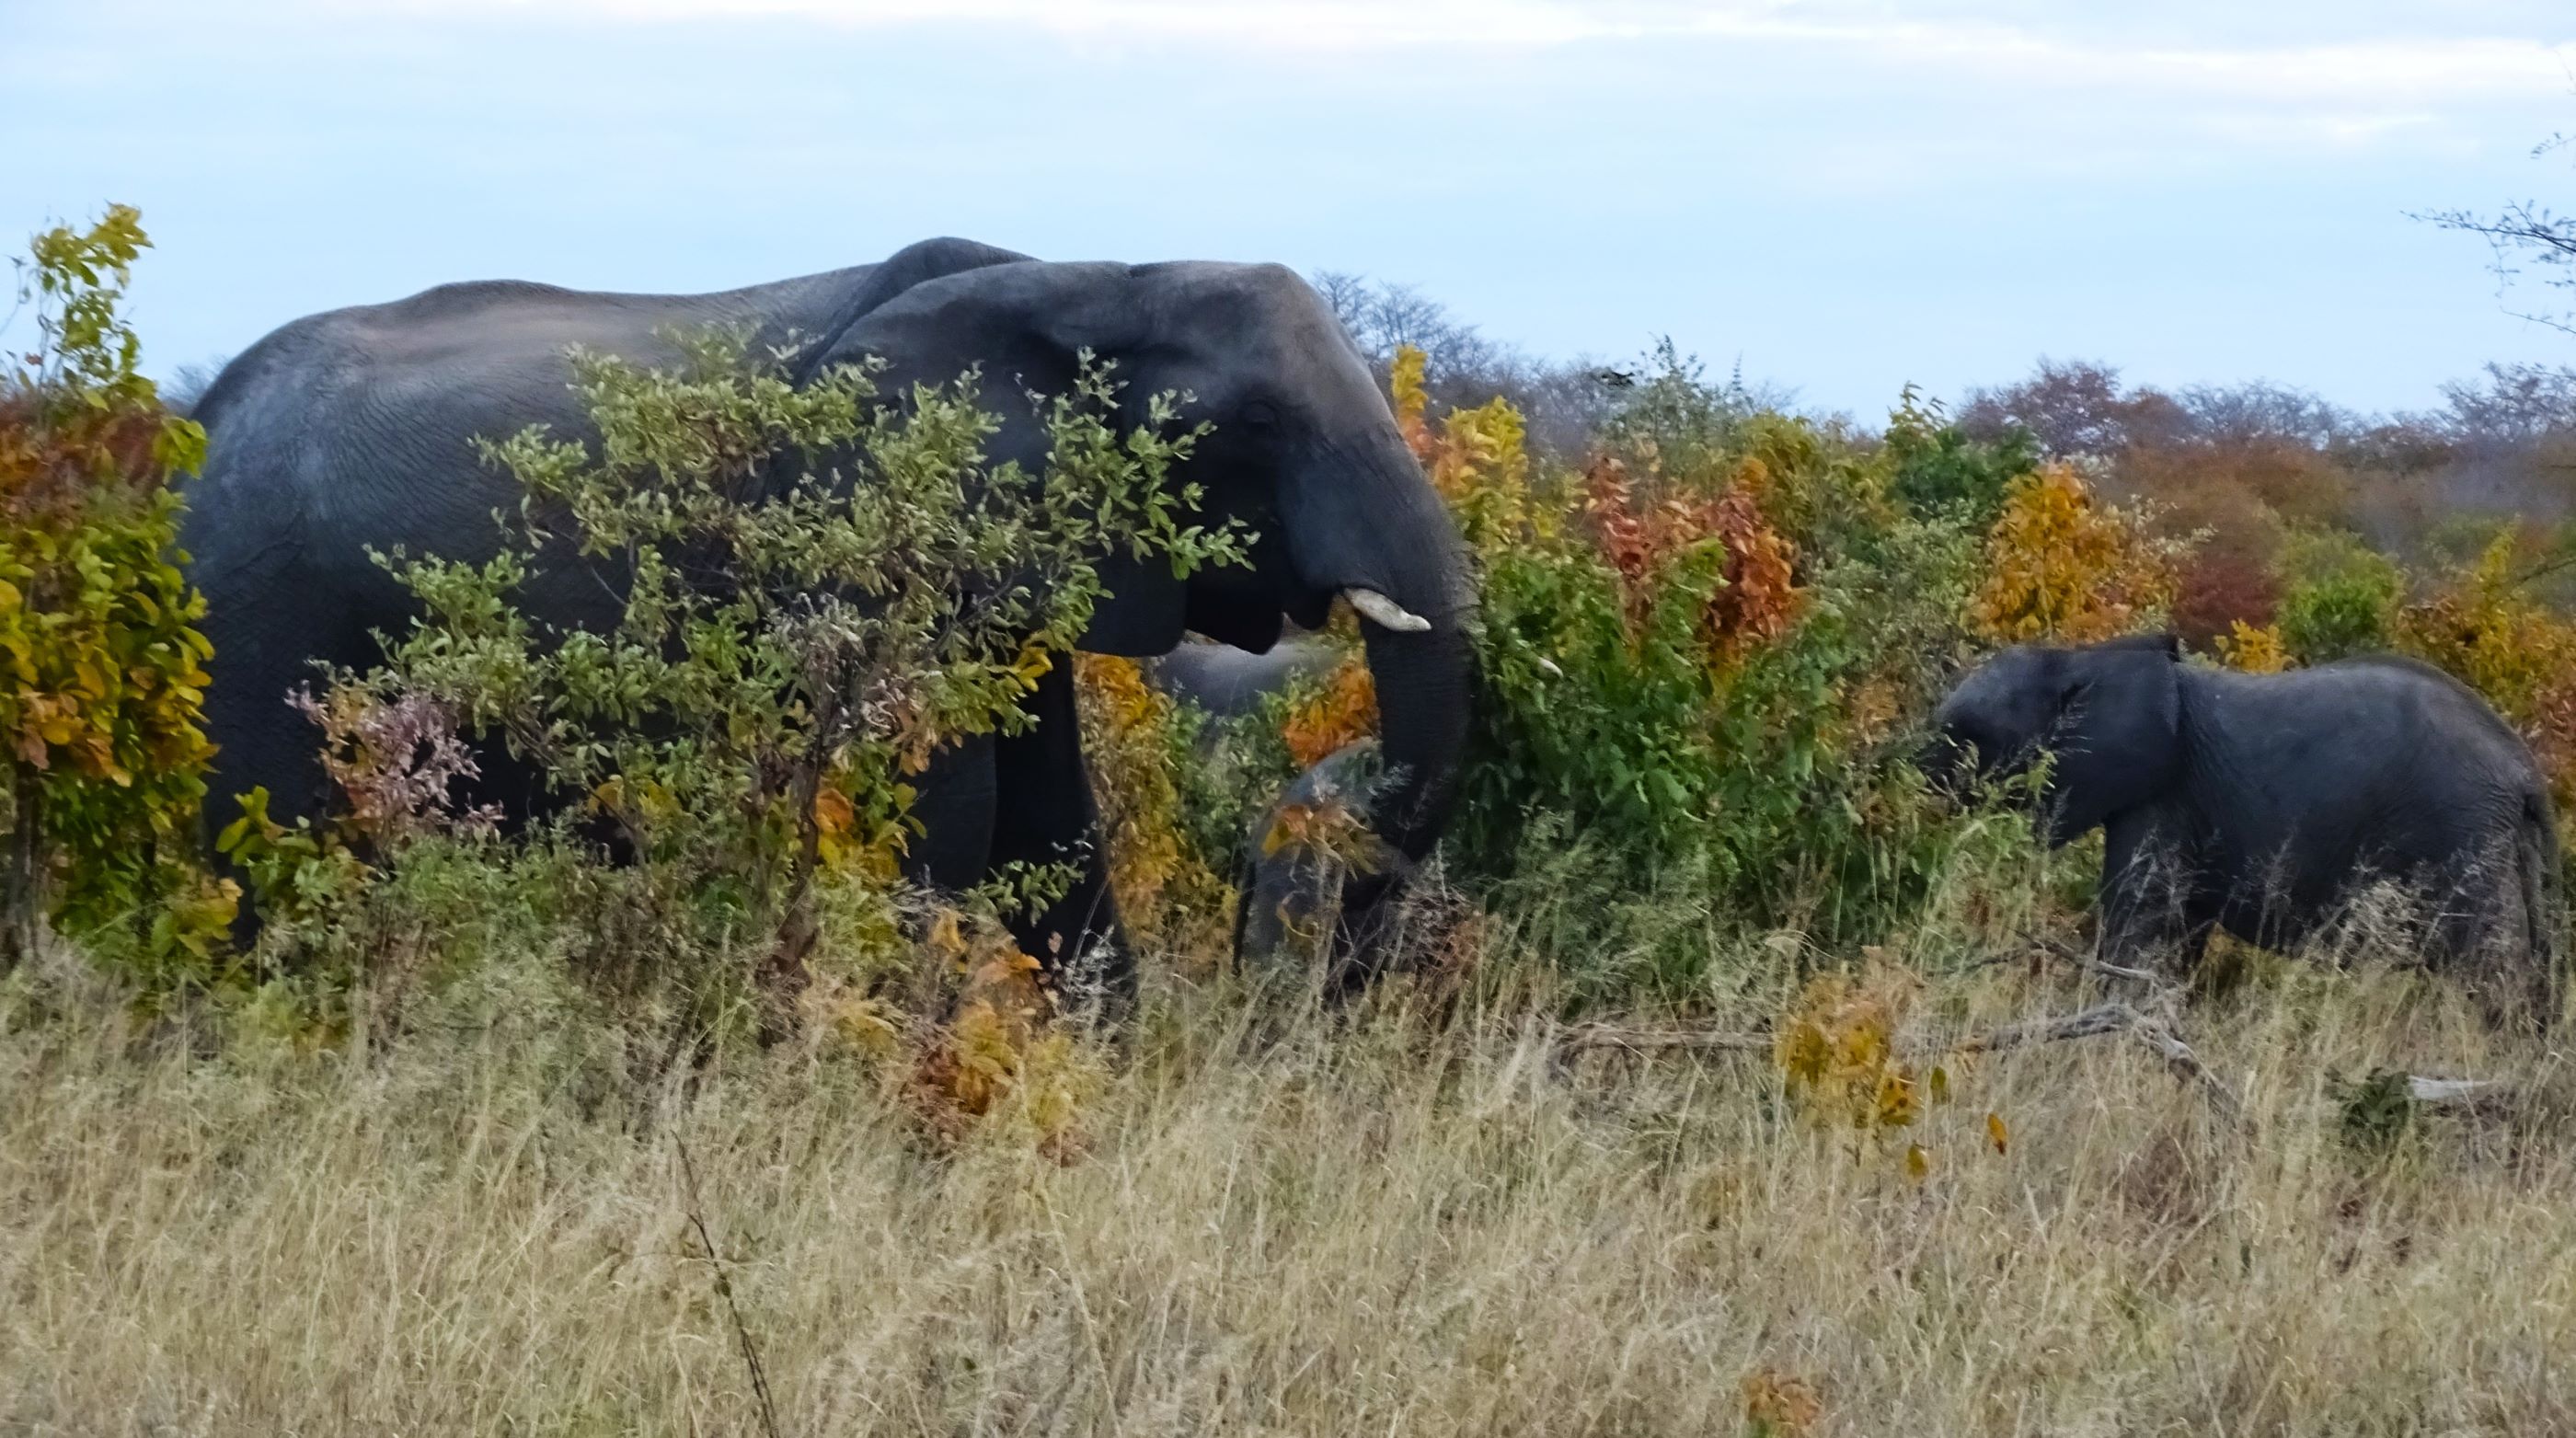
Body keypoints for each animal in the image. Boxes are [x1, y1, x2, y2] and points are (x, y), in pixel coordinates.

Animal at [181, 239, 1483, 1005]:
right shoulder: (871, 531)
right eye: (1256, 427)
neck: (1094, 273)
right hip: (251, 618)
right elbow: (944, 824)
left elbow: (1052, 824)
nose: (1307, 955)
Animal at [1937, 636, 2555, 1020]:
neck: (2079, 658)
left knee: (2490, 971)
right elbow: (2172, 938)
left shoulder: (2163, 794)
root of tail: (2526, 772)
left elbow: (2140, 924)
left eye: (1967, 737)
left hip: (2465, 837)